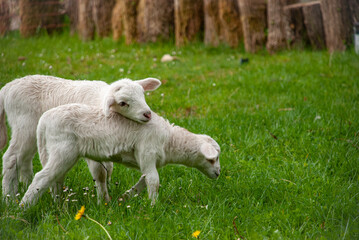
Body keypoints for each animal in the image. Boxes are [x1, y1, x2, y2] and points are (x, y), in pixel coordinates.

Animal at [0, 75, 160, 202]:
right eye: (123, 103)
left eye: (142, 95)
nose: (147, 114)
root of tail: (8, 87)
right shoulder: (91, 142)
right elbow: (100, 173)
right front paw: (104, 201)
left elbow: (109, 168)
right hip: (24, 126)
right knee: (11, 157)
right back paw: (9, 197)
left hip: (32, 133)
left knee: (25, 159)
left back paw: (25, 185)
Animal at [20, 103, 222, 206]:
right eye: (213, 159)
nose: (218, 173)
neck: (170, 141)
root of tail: (43, 121)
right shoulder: (147, 152)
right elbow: (154, 181)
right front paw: (153, 206)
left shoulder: (147, 161)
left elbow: (143, 180)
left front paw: (127, 197)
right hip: (63, 150)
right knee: (41, 177)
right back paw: (23, 207)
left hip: (54, 152)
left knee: (55, 179)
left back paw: (59, 206)